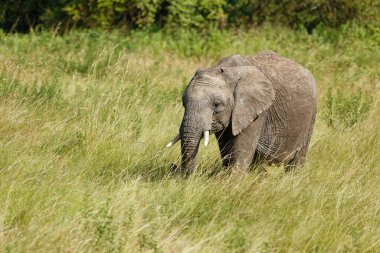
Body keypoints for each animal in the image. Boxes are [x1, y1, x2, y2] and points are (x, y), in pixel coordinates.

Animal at [166, 51, 318, 174]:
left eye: (217, 105)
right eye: (184, 103)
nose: (173, 167)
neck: (225, 71)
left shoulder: (257, 110)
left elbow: (240, 154)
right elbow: (227, 150)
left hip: (311, 115)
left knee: (297, 160)